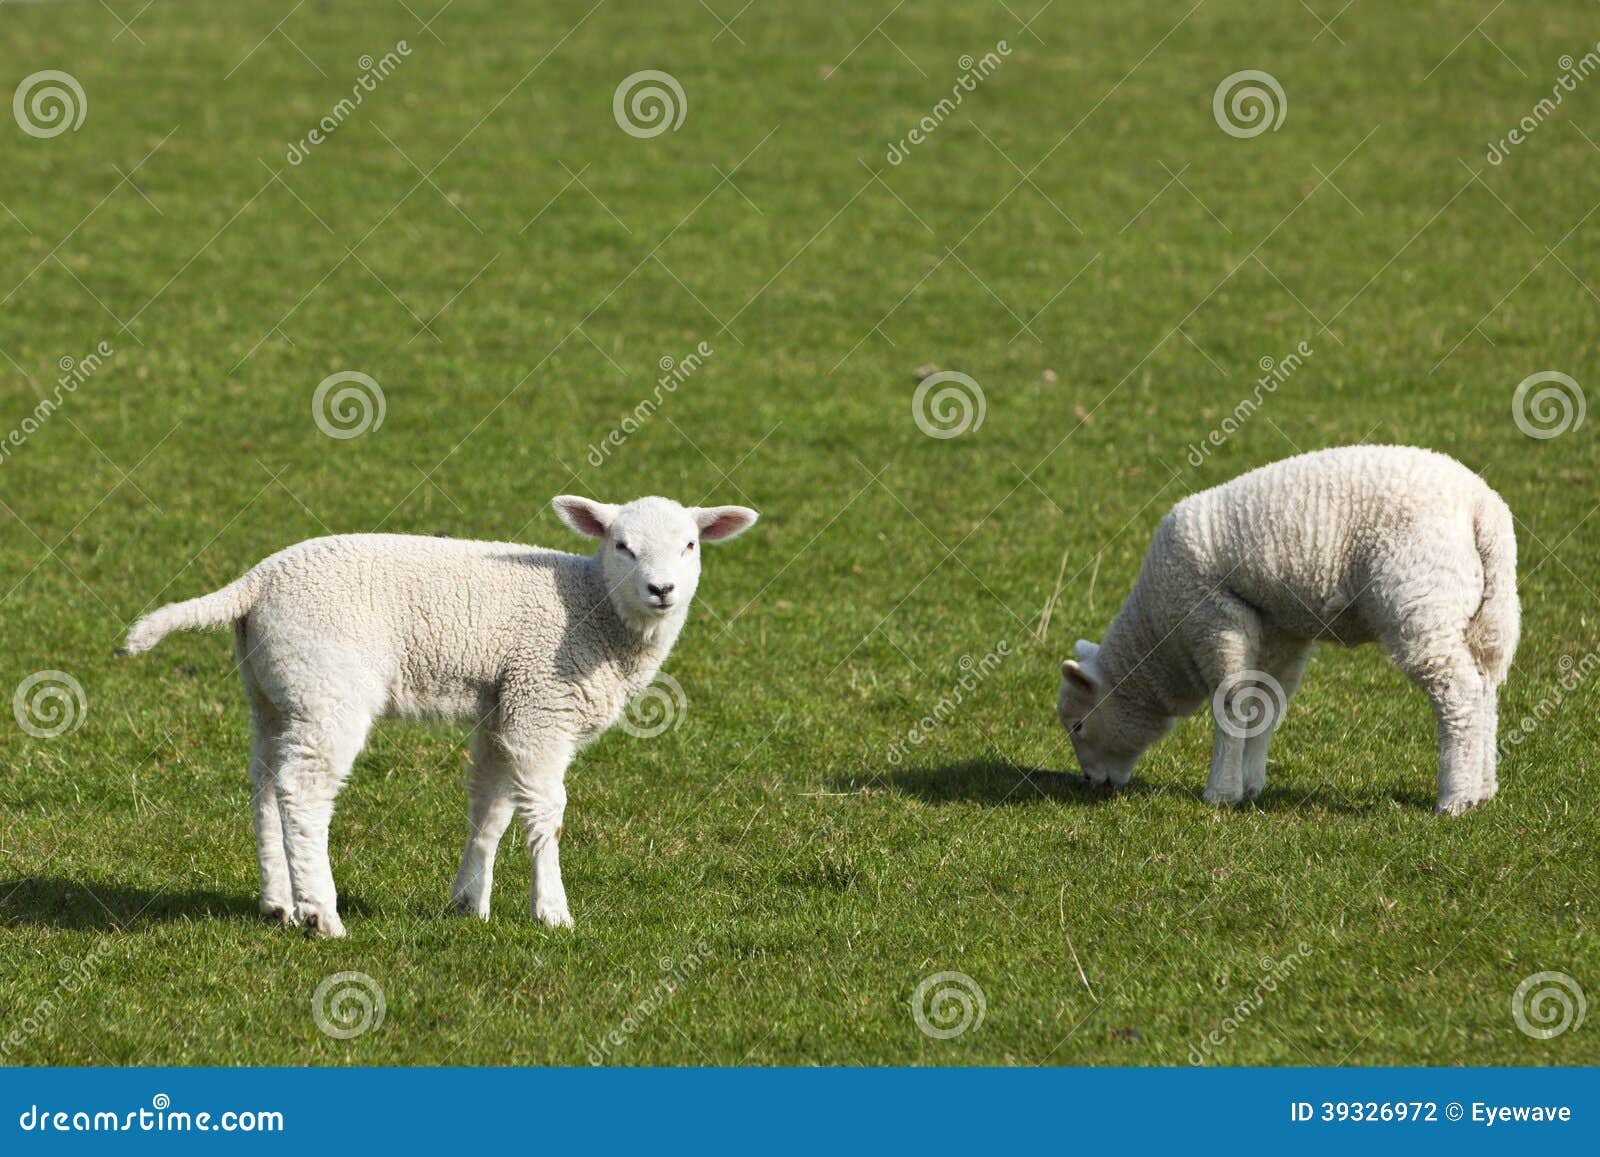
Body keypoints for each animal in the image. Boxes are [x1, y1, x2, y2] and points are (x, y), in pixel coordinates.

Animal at [120, 495, 759, 937]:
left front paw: (470, 901)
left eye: (691, 546)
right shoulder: (540, 706)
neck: (594, 609)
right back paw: (322, 914)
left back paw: (279, 901)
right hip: (329, 686)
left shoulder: (504, 707)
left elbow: (492, 809)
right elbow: (545, 814)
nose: (662, 589)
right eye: (621, 545)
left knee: (264, 783)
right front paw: (552, 911)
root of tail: (256, 583)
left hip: (273, 692)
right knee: (303, 789)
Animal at [1057, 445, 1518, 815]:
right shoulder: (1279, 632)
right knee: (1484, 690)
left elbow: (1229, 705)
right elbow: (1264, 705)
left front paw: (1219, 793)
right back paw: (1483, 790)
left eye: (1078, 726)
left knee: (1457, 695)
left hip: (1422, 602)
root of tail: (1481, 507)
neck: (1161, 634)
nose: (1090, 783)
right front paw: (1249, 785)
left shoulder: (1214, 618)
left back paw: (1454, 800)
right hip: (1484, 615)